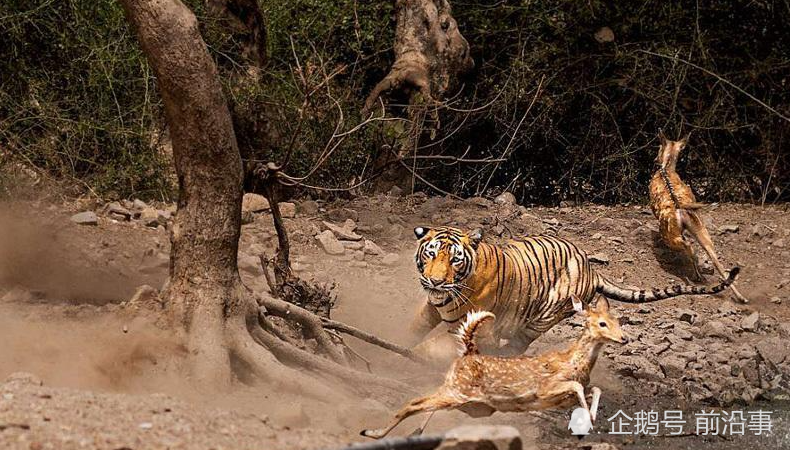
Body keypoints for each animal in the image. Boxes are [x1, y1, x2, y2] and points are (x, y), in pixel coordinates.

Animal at [362, 296, 628, 440]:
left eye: (617, 321)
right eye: (602, 323)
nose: (624, 338)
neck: (574, 362)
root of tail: (468, 352)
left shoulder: (565, 397)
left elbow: (594, 389)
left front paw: (590, 417)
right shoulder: (545, 389)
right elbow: (576, 386)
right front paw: (586, 420)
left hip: (470, 403)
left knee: (426, 403)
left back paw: (413, 433)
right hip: (458, 391)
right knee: (414, 402)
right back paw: (371, 433)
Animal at [412, 225, 740, 362]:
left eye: (455, 259)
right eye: (431, 254)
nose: (435, 282)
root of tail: (592, 269)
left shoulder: (481, 326)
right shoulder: (430, 308)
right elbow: (416, 329)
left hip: (543, 317)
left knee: (517, 344)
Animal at [648, 132, 748, 304]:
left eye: (659, 146)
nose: (654, 159)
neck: (666, 168)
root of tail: (681, 208)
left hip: (670, 234)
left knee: (688, 247)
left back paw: (698, 276)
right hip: (701, 230)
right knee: (716, 260)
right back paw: (741, 297)